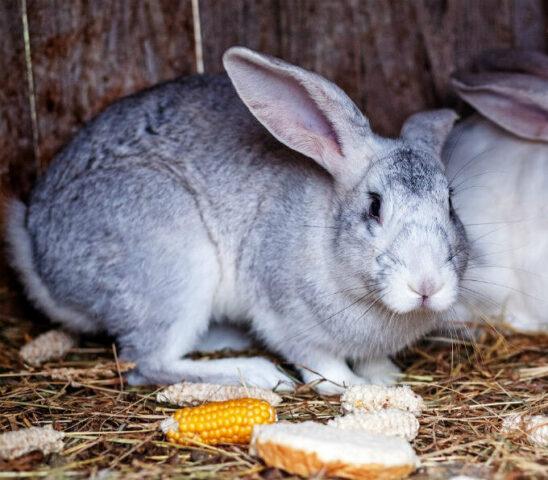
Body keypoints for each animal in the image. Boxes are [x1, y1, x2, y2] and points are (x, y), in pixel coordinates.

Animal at [4, 47, 468, 394]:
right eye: (374, 206)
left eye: (450, 203)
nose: (426, 286)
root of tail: (40, 257)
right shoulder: (286, 318)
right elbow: (322, 363)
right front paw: (353, 387)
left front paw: (385, 379)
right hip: (174, 268)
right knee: (149, 362)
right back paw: (259, 374)